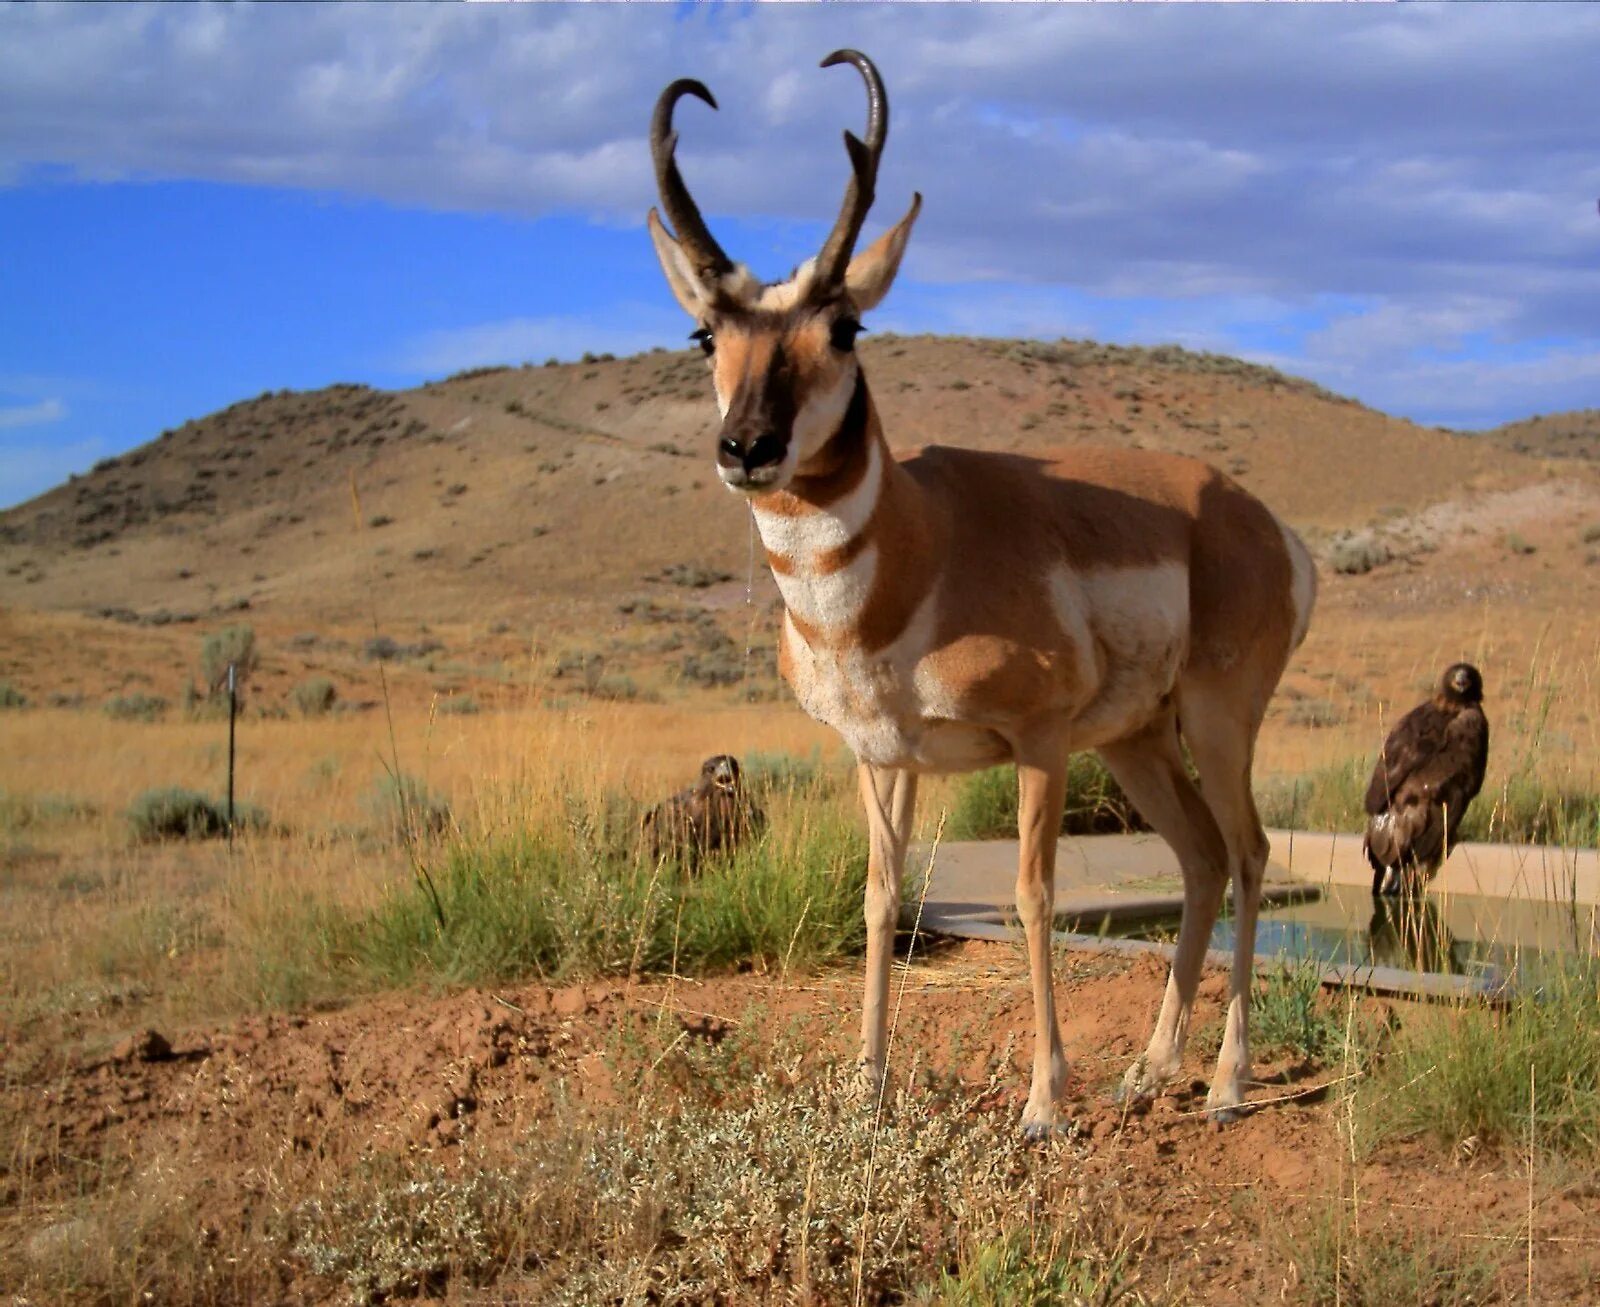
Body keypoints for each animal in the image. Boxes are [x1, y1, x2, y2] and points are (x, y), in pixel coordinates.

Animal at [643, 53, 1318, 1132]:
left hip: (1215, 718)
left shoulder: (1037, 740)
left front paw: (1043, 1101)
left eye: (846, 323)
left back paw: (1224, 1083)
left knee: (1249, 852)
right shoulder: (881, 756)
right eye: (705, 333)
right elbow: (880, 896)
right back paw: (1149, 1070)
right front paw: (867, 1085)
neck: (919, 548)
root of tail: (1256, 519)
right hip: (1135, 740)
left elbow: (1032, 892)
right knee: (1203, 857)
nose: (746, 446)